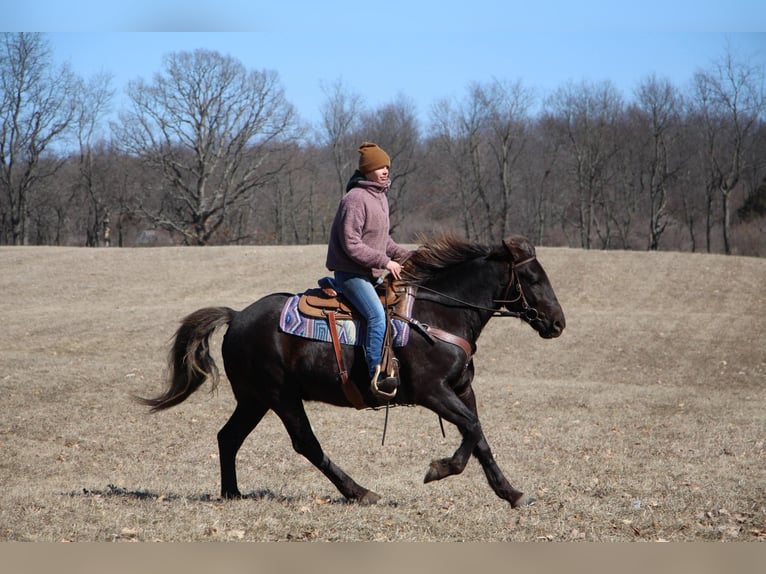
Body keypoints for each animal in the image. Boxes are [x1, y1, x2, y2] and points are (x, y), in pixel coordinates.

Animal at [141, 234, 568, 508]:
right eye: (533, 278)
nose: (558, 323)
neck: (440, 313)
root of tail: (237, 316)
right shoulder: (433, 392)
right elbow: (472, 429)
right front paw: (440, 469)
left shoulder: (462, 389)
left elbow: (477, 435)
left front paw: (510, 493)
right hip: (280, 396)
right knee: (306, 444)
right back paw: (360, 492)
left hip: (254, 399)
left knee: (228, 437)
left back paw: (231, 493)